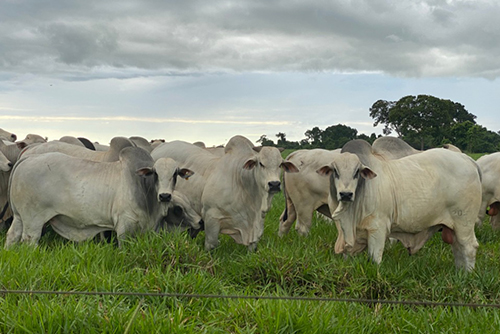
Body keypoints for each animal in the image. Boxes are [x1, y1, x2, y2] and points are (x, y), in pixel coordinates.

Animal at [5, 147, 193, 247]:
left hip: (20, 217)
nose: (165, 196)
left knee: (12, 236)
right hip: (33, 220)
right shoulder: (124, 225)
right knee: (29, 240)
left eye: (175, 174)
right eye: (155, 173)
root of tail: (29, 158)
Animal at [152, 136, 298, 250]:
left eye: (280, 164)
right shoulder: (211, 217)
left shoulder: (256, 224)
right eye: (261, 163)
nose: (274, 184)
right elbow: (211, 244)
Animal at [318, 140, 482, 270]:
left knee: (469, 247)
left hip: (464, 221)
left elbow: (375, 259)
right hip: (454, 227)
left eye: (357, 172)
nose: (346, 194)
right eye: (335, 171)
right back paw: (459, 273)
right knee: (458, 248)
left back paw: (467, 275)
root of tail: (468, 159)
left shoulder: (378, 228)